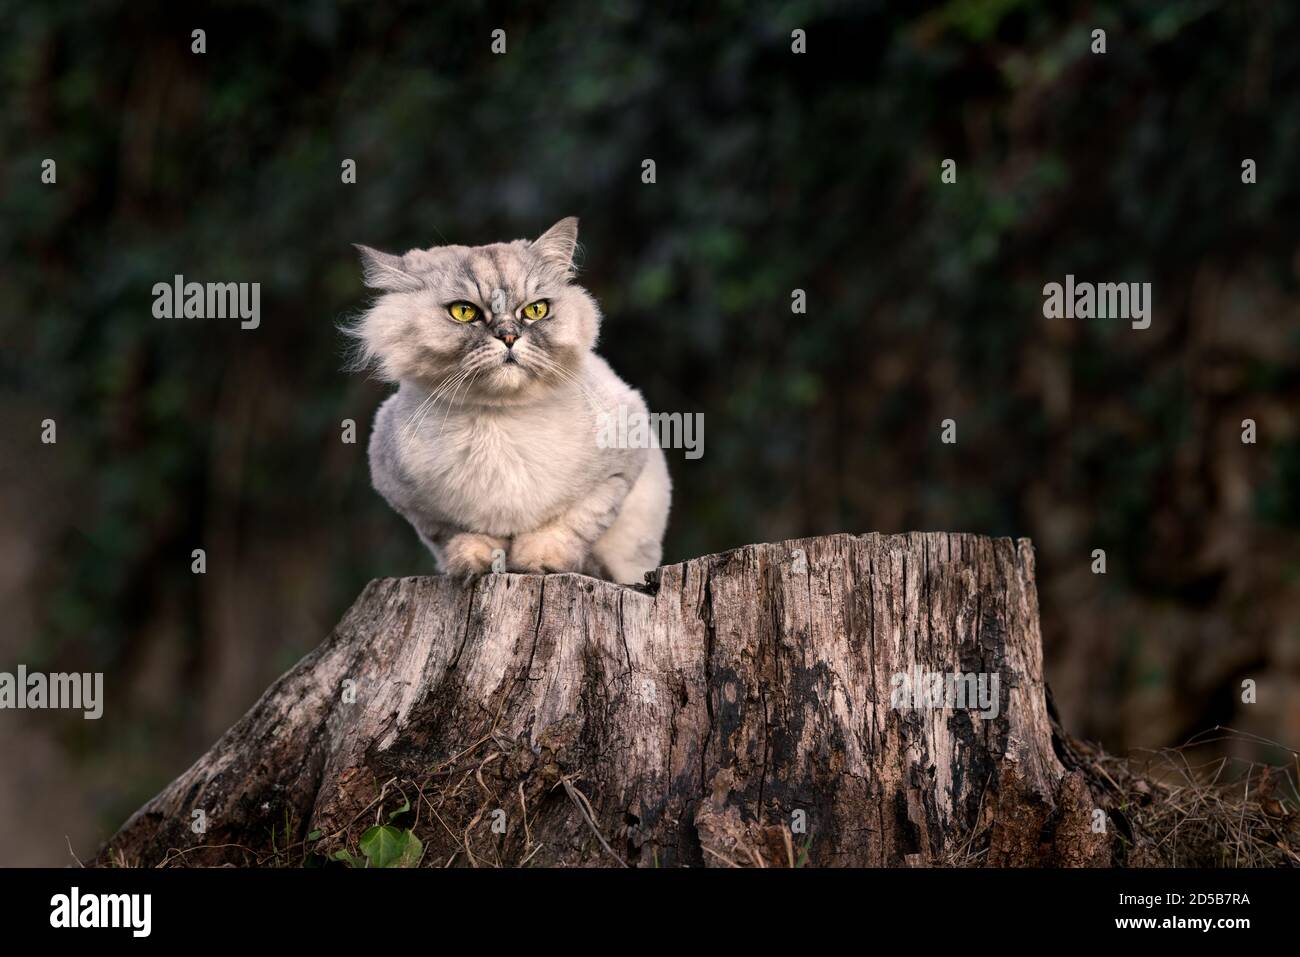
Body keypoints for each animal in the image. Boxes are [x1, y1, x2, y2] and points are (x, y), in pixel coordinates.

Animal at [345, 217, 670, 587]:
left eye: (535, 310)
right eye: (464, 312)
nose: (509, 336)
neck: (497, 423)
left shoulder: (617, 474)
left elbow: (566, 527)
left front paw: (539, 561)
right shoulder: (417, 507)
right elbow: (464, 536)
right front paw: (475, 562)